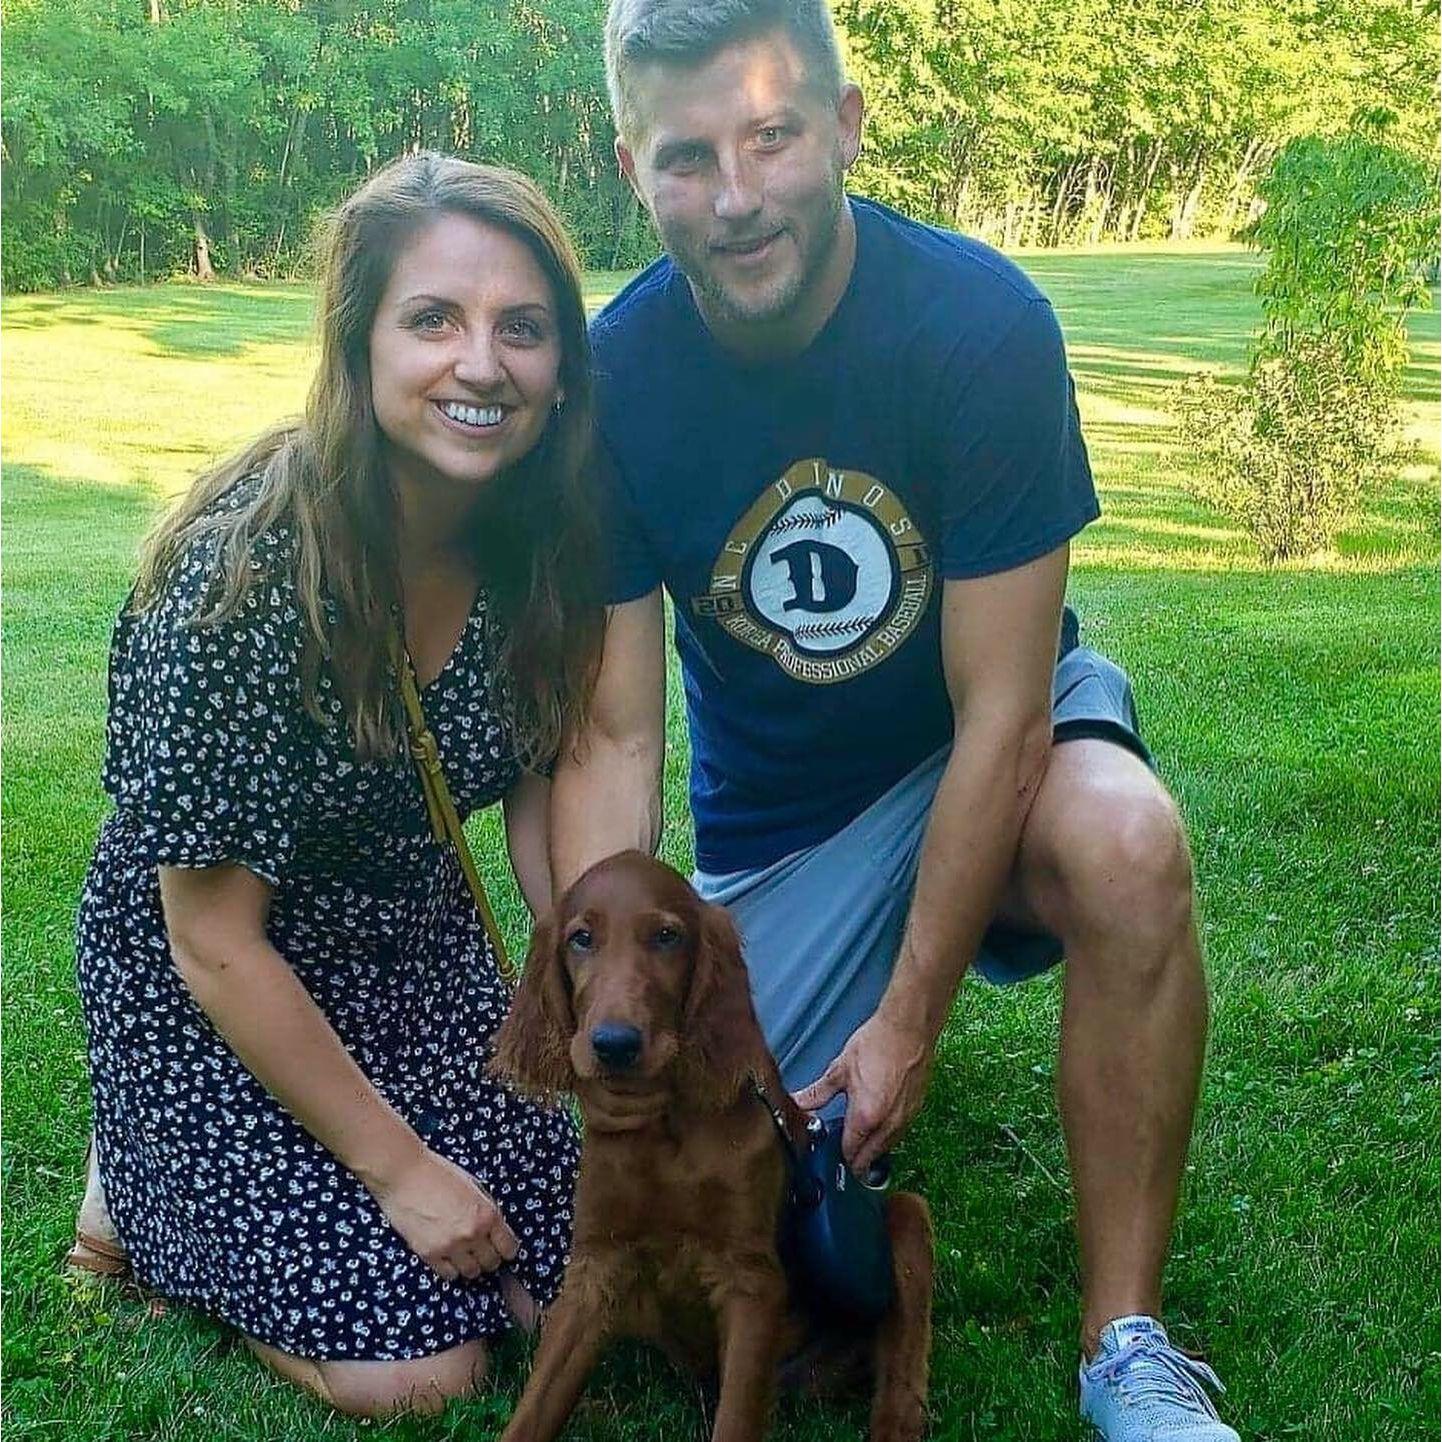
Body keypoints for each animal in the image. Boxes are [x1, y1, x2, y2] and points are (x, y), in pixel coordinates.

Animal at [490, 850, 933, 1442]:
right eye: (581, 938)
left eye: (666, 937)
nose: (615, 1045)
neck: (667, 1130)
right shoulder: (595, 1267)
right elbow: (539, 1401)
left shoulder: (750, 1281)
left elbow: (736, 1417)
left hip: (905, 1225)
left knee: (902, 1371)